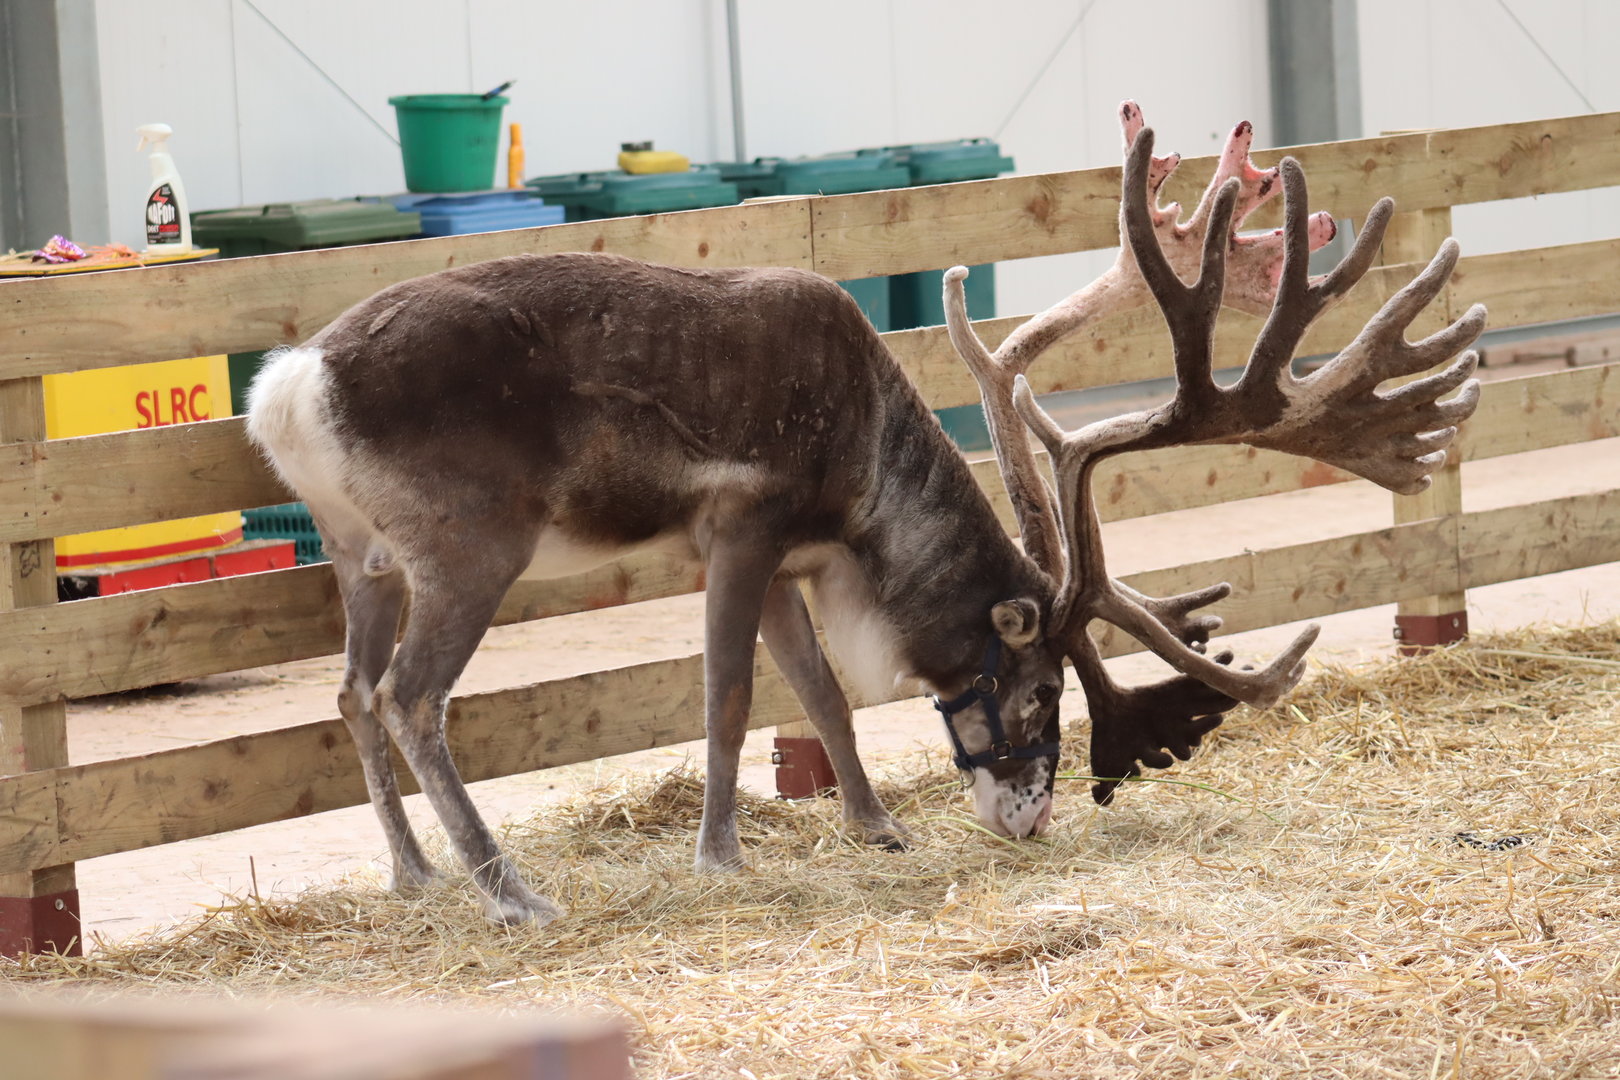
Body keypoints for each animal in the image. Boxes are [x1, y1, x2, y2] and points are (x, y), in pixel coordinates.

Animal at [245, 101, 1483, 926]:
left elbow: (825, 699)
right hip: (470, 547)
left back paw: (414, 875)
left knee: (350, 691)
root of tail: (291, 386)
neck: (863, 478)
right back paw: (511, 893)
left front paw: (877, 827)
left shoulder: (790, 560)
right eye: (1040, 691)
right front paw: (721, 856)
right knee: (411, 697)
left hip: (363, 557)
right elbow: (732, 700)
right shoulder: (742, 530)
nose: (1032, 819)